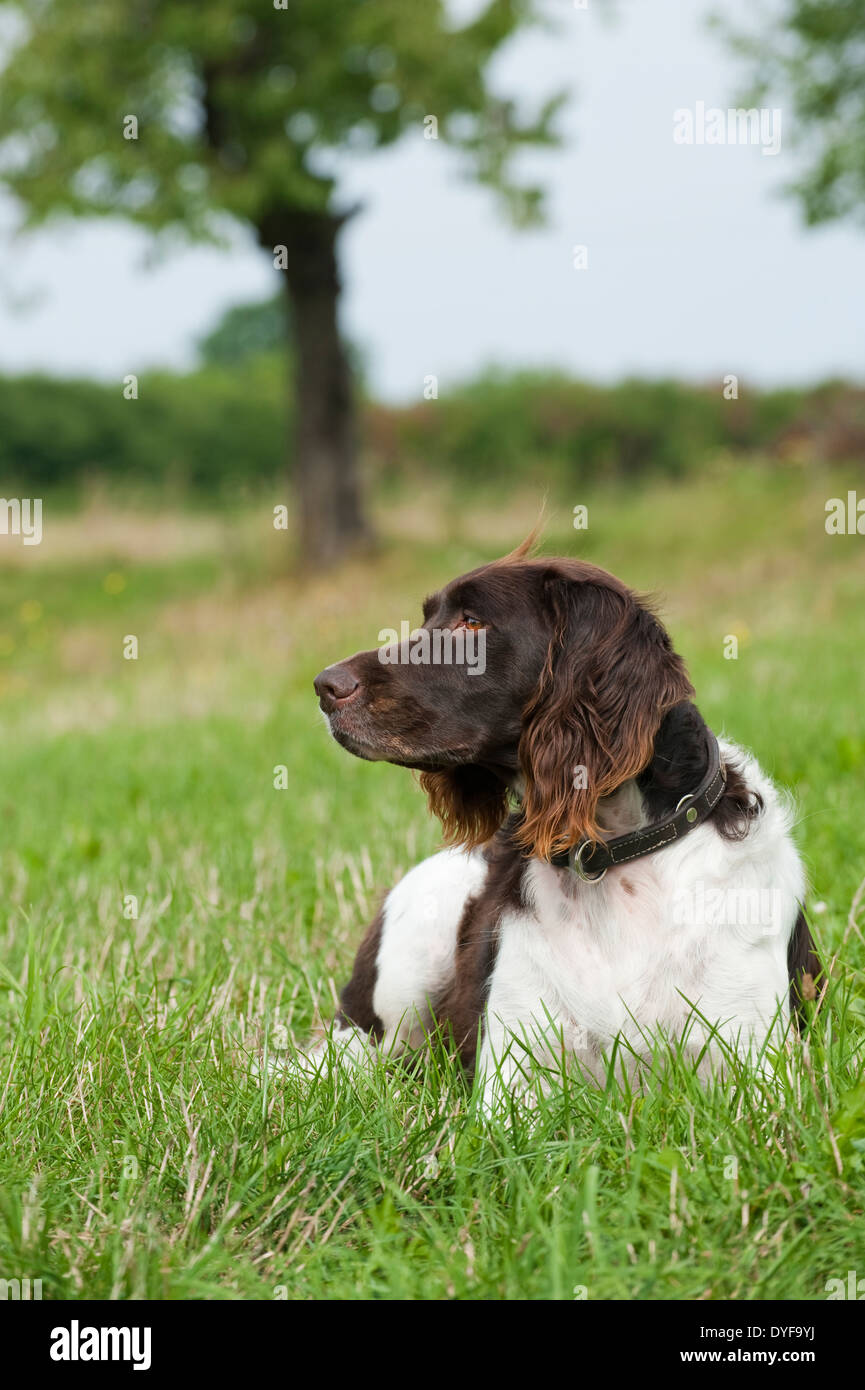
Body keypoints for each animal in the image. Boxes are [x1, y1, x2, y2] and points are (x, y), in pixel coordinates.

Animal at [310, 542, 817, 1106]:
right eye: (428, 619)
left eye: (472, 623)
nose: (325, 686)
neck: (614, 854)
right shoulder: (512, 1074)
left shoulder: (756, 1066)